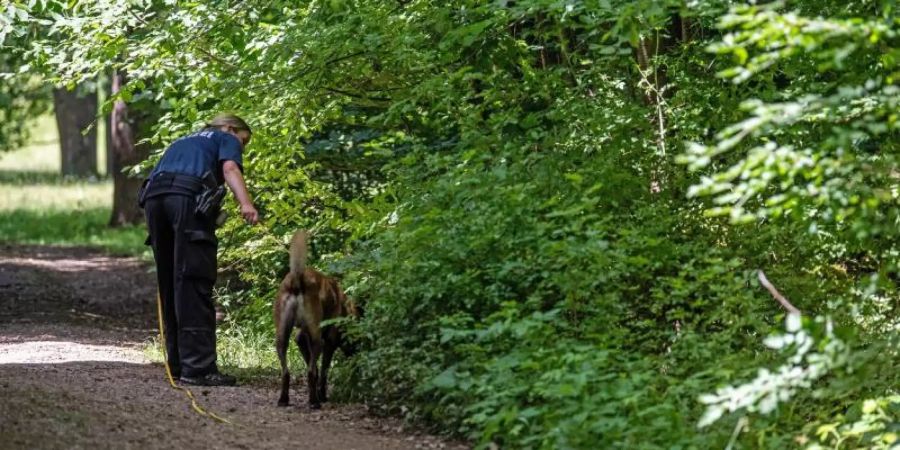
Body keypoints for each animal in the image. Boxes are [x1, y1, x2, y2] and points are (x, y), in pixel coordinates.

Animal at [274, 230, 356, 410]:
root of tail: (297, 278)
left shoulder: (300, 339)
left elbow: (316, 368)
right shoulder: (329, 342)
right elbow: (322, 371)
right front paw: (322, 395)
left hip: (282, 336)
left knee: (286, 372)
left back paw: (284, 399)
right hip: (317, 339)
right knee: (311, 372)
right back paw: (314, 402)